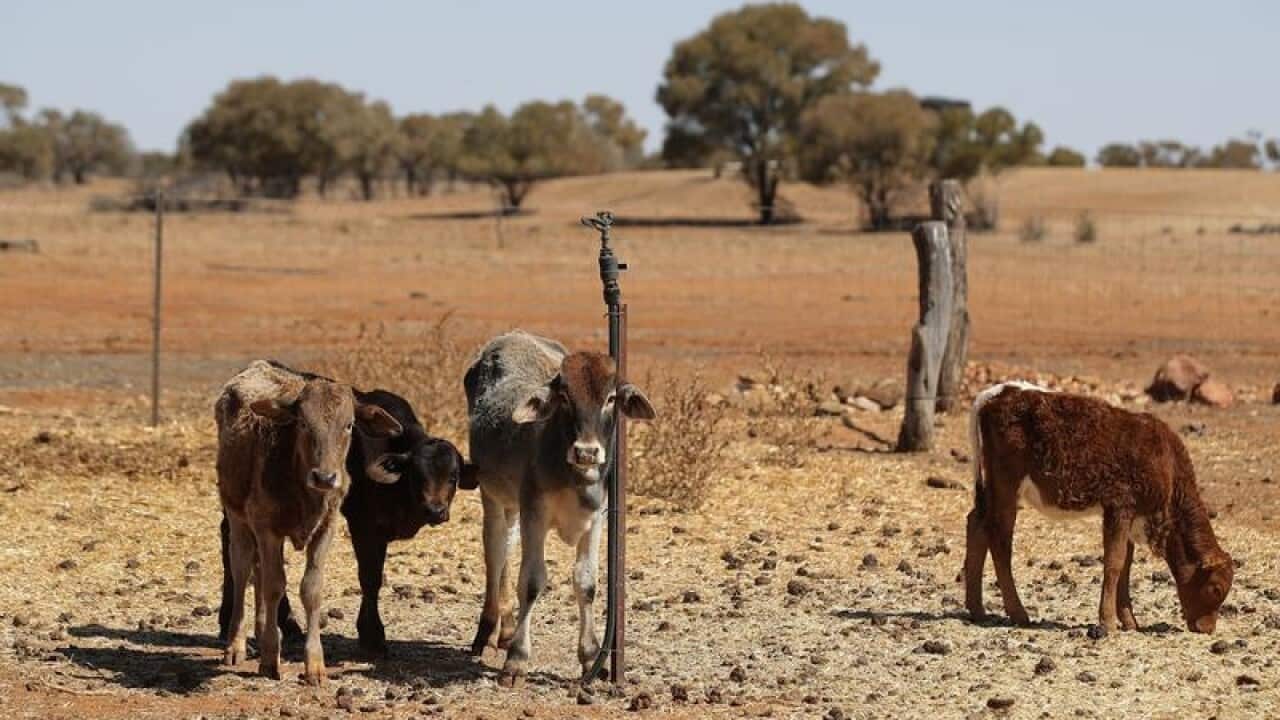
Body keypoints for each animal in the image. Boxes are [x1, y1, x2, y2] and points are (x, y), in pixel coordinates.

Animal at [216, 360, 402, 684]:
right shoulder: (267, 529)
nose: (325, 477)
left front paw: (314, 664)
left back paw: (261, 630)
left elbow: (311, 589)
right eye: (303, 423)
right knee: (243, 571)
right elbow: (275, 586)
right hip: (237, 515)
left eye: (349, 425)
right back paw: (236, 644)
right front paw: (270, 658)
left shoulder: (325, 528)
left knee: (258, 571)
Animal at [463, 330, 655, 686]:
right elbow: (532, 581)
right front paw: (517, 660)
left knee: (506, 548)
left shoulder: (596, 519)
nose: (587, 452)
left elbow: (586, 582)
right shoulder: (535, 514)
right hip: (492, 495)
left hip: (513, 504)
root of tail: (511, 336)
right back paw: (487, 630)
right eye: (565, 397)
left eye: (611, 398)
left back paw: (507, 629)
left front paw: (591, 656)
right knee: (495, 554)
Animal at [964, 382, 1233, 635]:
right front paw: (1108, 622)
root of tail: (996, 393)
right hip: (1006, 485)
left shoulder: (1131, 515)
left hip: (990, 487)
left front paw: (1129, 621)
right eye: (1216, 589)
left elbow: (1126, 565)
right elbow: (1114, 563)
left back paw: (977, 610)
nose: (1208, 628)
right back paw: (1018, 613)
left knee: (976, 523)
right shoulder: (1120, 505)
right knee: (999, 538)